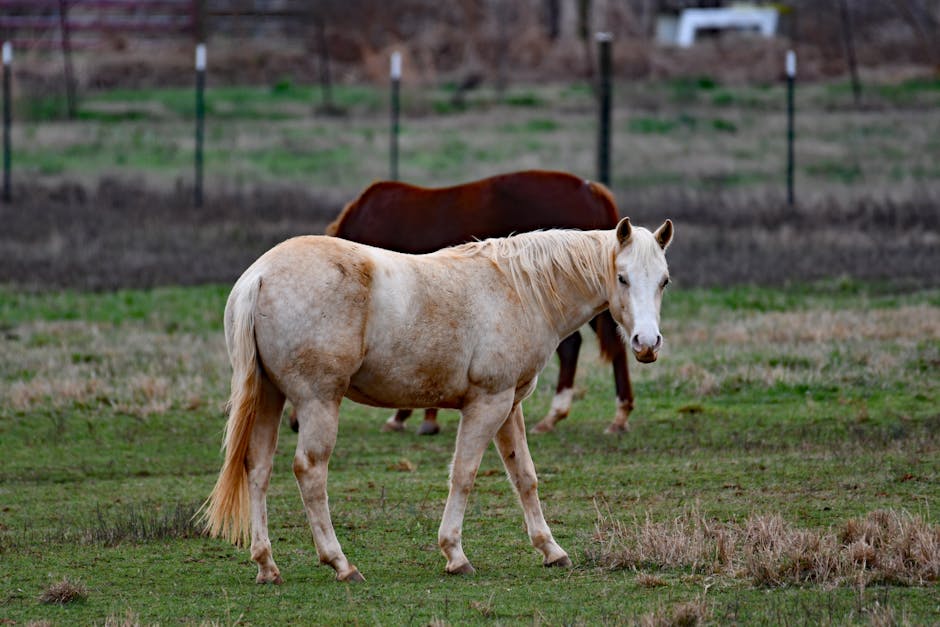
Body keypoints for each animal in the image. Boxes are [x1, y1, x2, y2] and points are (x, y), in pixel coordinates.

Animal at [204, 217, 676, 584]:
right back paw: (340, 563)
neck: (521, 288)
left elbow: (524, 476)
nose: (647, 343)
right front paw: (455, 554)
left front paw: (550, 549)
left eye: (664, 281)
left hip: (269, 397)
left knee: (257, 469)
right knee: (309, 471)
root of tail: (260, 276)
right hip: (318, 402)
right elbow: (464, 474)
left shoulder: (510, 406)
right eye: (622, 277)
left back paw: (267, 565)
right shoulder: (487, 404)